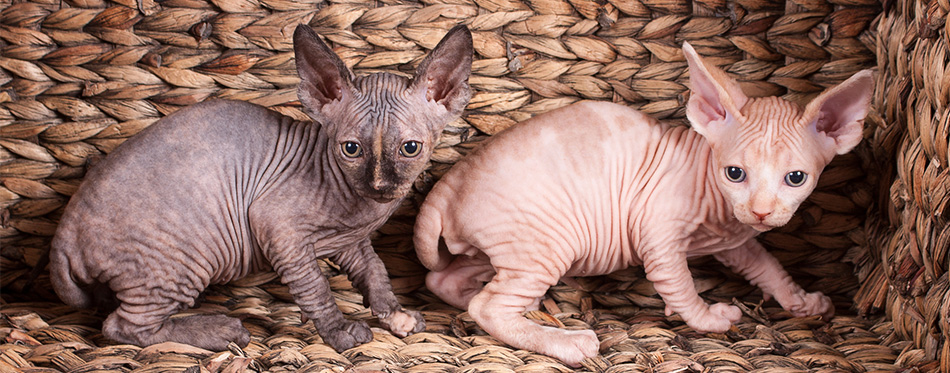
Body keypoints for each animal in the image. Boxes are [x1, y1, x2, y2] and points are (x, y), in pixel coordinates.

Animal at [48, 24, 472, 352]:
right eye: (351, 149)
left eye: (410, 148)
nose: (380, 184)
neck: (361, 208)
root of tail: (62, 236)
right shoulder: (276, 226)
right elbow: (315, 286)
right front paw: (339, 331)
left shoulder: (348, 240)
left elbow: (375, 272)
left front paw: (395, 315)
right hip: (180, 260)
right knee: (121, 327)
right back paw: (219, 330)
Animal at [412, 42, 872, 364]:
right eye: (735, 173)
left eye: (796, 178)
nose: (761, 211)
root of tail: (449, 184)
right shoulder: (658, 233)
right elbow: (679, 283)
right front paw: (708, 319)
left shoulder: (734, 240)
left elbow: (768, 267)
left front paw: (802, 302)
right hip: (546, 242)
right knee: (488, 307)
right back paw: (566, 341)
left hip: (500, 248)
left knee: (446, 282)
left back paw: (517, 305)